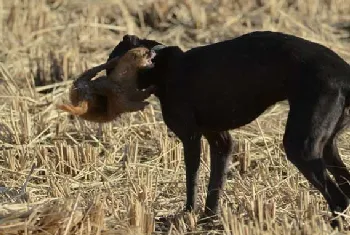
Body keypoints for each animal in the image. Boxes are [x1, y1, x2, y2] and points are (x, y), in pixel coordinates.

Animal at [108, 31, 350, 226]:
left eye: (111, 65)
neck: (162, 65)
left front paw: (188, 214)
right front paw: (208, 218)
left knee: (339, 198)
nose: (105, 91)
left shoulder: (190, 137)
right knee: (345, 187)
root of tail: (344, 73)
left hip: (302, 146)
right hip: (327, 146)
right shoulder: (220, 141)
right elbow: (216, 183)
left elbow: (192, 178)